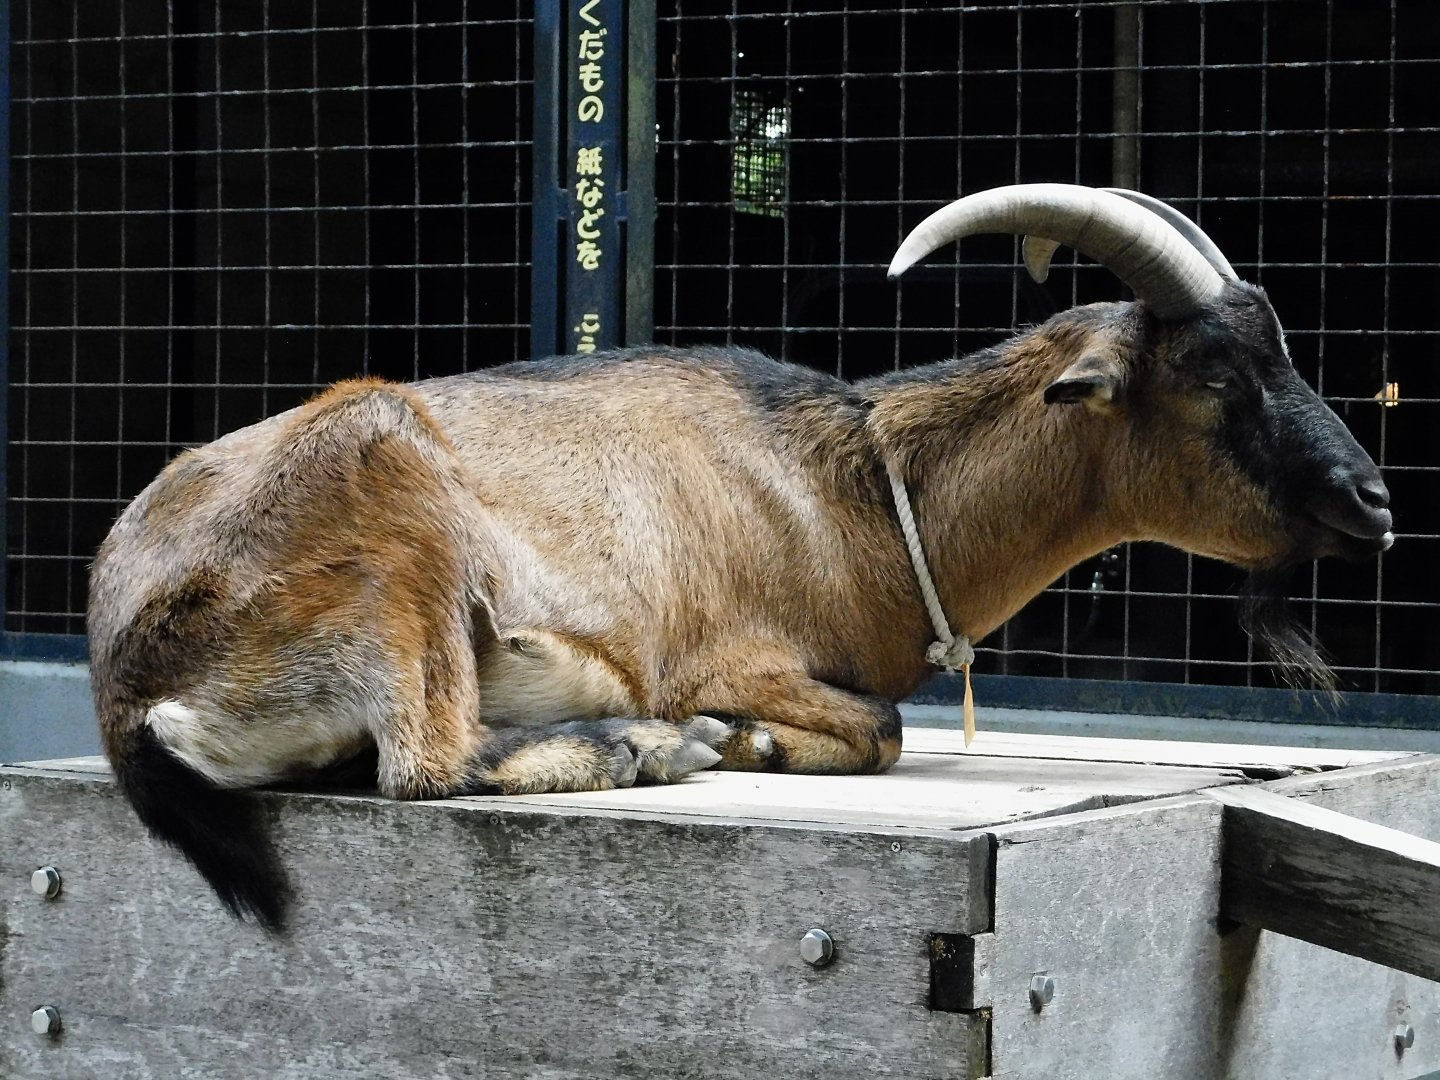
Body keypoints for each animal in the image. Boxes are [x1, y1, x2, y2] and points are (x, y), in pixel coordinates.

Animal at [89, 184, 1393, 930]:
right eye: (1216, 375)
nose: (1373, 503)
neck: (854, 496)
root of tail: (123, 679)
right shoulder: (723, 654)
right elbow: (882, 726)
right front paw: (753, 739)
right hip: (392, 499)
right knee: (424, 765)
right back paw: (646, 748)